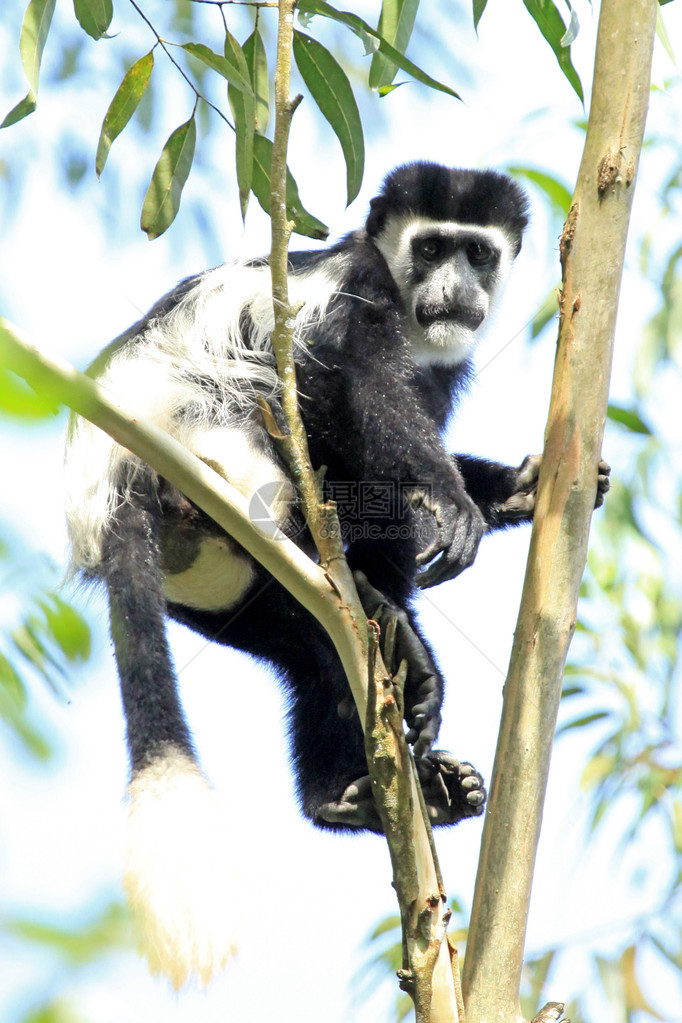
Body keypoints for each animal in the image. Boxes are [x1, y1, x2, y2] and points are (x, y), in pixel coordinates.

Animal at [65, 163, 609, 986]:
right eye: (432, 247)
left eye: (479, 254)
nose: (456, 289)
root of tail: (116, 481)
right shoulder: (355, 291)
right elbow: (353, 384)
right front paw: (451, 504)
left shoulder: (443, 360)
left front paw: (520, 486)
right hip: (215, 441)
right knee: (311, 420)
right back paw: (392, 620)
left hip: (223, 591)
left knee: (311, 653)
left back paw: (358, 789)